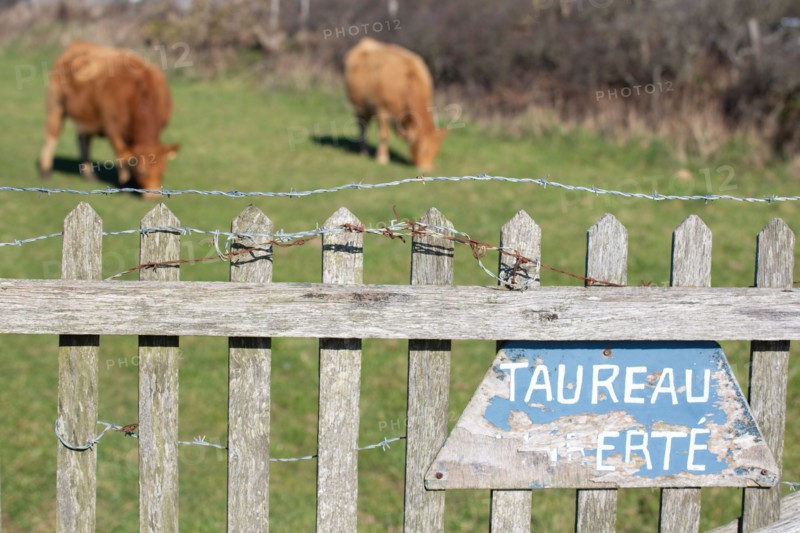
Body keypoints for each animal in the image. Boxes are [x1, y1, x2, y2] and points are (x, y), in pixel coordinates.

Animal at [39, 41, 178, 198]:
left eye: (162, 171)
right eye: (143, 172)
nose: (153, 197)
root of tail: (77, 43)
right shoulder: (113, 129)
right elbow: (121, 156)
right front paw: (125, 185)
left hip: (86, 115)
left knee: (83, 140)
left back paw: (89, 175)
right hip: (55, 104)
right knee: (52, 135)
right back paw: (45, 170)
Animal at [344, 37, 446, 172]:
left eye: (436, 151)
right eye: (424, 150)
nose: (427, 169)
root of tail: (367, 41)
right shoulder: (382, 111)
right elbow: (384, 135)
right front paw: (382, 158)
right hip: (360, 107)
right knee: (362, 127)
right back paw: (363, 151)